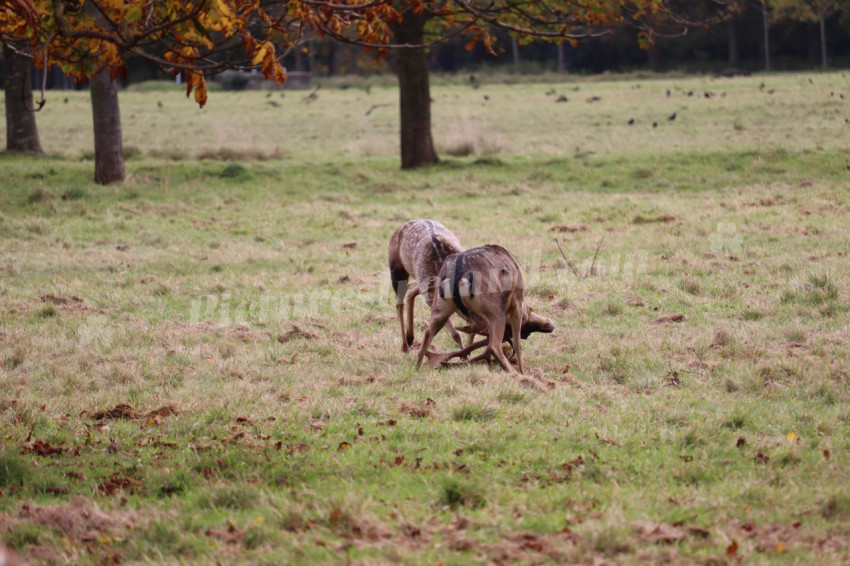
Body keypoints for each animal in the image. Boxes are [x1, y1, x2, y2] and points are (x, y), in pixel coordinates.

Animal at [390, 220, 468, 352]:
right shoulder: (430, 298)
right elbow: (456, 333)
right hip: (396, 270)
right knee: (399, 303)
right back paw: (405, 345)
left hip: (419, 280)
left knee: (410, 289)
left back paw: (410, 338)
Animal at [414, 245, 552, 374]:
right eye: (529, 310)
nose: (551, 325)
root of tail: (458, 278)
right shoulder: (516, 300)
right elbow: (517, 342)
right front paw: (523, 371)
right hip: (495, 310)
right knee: (494, 345)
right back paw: (514, 373)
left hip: (440, 307)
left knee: (427, 335)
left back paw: (417, 369)